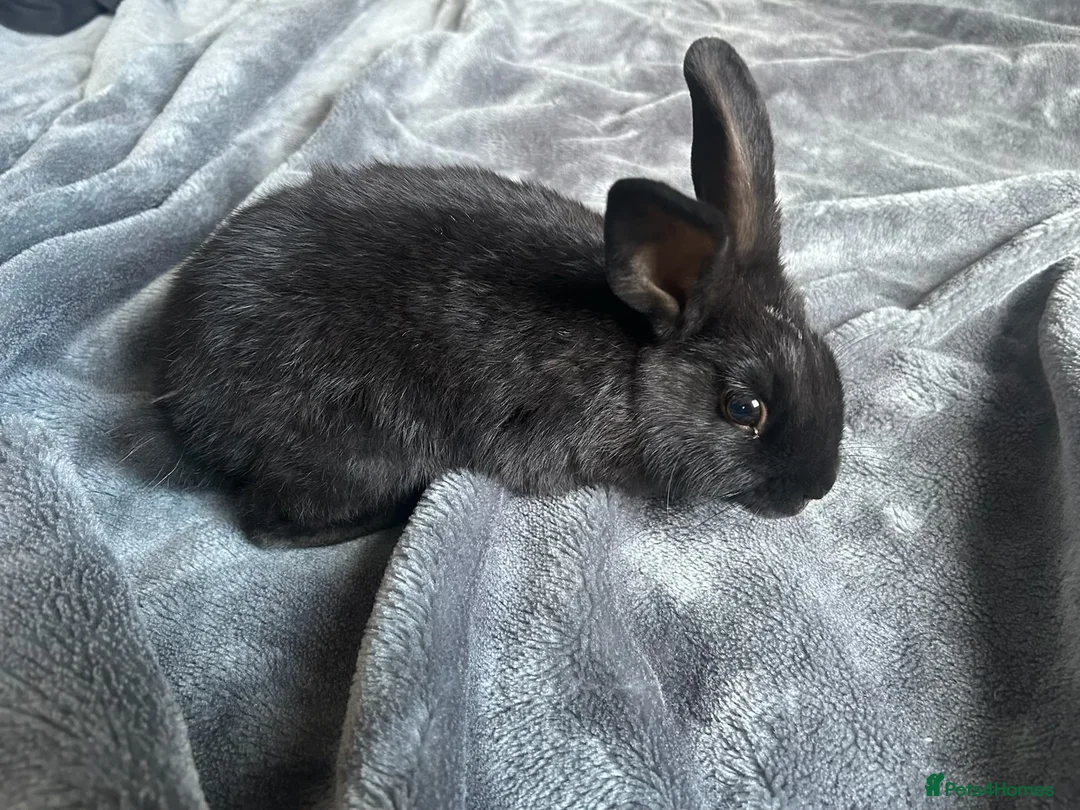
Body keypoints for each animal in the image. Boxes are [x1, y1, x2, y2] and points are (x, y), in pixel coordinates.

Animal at [154, 37, 845, 548]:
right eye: (742, 409)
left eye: (830, 362)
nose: (817, 488)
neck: (633, 370)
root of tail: (180, 388)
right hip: (353, 451)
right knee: (269, 524)